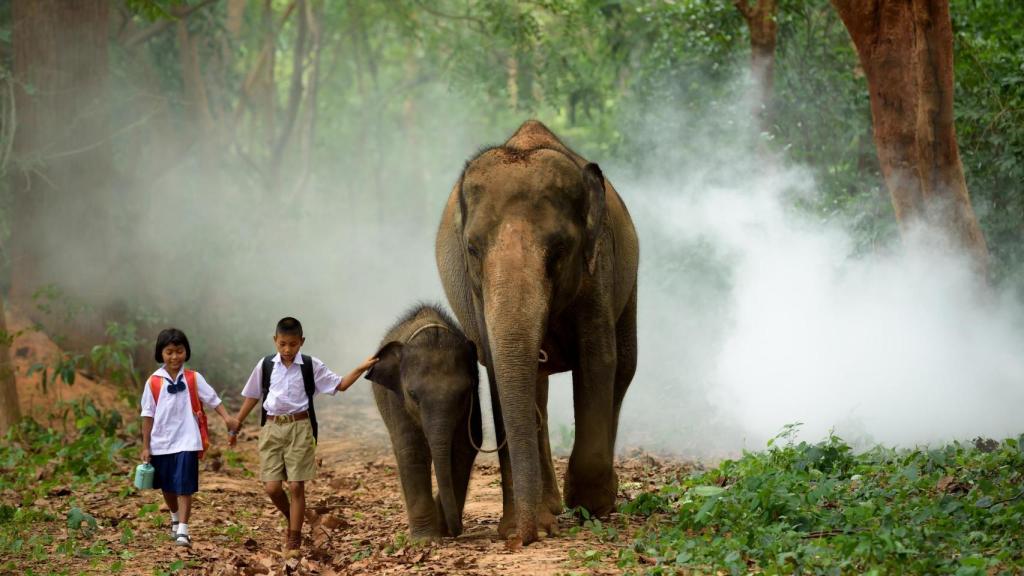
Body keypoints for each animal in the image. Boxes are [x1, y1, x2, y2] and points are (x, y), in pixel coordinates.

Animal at [365, 304, 483, 540]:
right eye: (412, 394)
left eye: (464, 394)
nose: (455, 531)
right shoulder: (396, 399)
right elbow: (412, 450)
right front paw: (425, 539)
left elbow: (464, 448)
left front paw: (439, 528)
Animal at [435, 120, 639, 545]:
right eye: (472, 249)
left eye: (559, 250)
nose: (523, 539)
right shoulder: (476, 294)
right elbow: (498, 370)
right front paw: (522, 524)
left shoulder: (598, 269)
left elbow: (598, 361)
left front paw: (590, 507)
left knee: (625, 368)